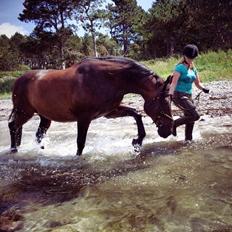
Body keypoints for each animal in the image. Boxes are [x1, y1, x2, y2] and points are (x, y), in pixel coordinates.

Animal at [8, 56, 173, 156]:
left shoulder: (110, 112)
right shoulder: (84, 118)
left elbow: (136, 114)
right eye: (163, 102)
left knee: (38, 135)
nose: (168, 130)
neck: (107, 78)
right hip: (24, 112)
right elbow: (80, 143)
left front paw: (137, 142)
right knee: (13, 126)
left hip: (44, 117)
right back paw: (14, 150)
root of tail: (18, 80)